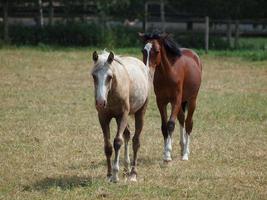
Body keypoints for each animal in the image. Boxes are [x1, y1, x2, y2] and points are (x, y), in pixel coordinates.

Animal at [139, 32, 202, 161]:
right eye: (143, 51)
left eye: (157, 51)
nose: (146, 70)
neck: (168, 73)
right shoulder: (161, 101)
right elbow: (164, 126)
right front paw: (166, 152)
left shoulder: (175, 100)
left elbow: (171, 124)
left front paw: (168, 154)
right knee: (182, 119)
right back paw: (182, 147)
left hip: (192, 100)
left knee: (188, 123)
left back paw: (185, 154)